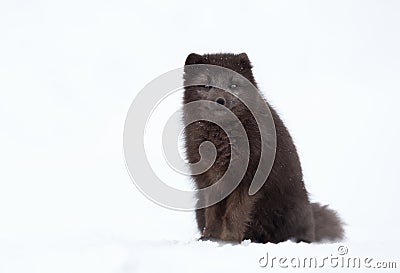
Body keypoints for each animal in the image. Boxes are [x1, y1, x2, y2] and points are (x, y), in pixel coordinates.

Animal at [183, 52, 342, 242]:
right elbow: (213, 214)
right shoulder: (209, 181)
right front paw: (210, 238)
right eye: (206, 85)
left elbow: (234, 214)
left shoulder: (248, 179)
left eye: (233, 85)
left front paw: (230, 240)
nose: (220, 100)